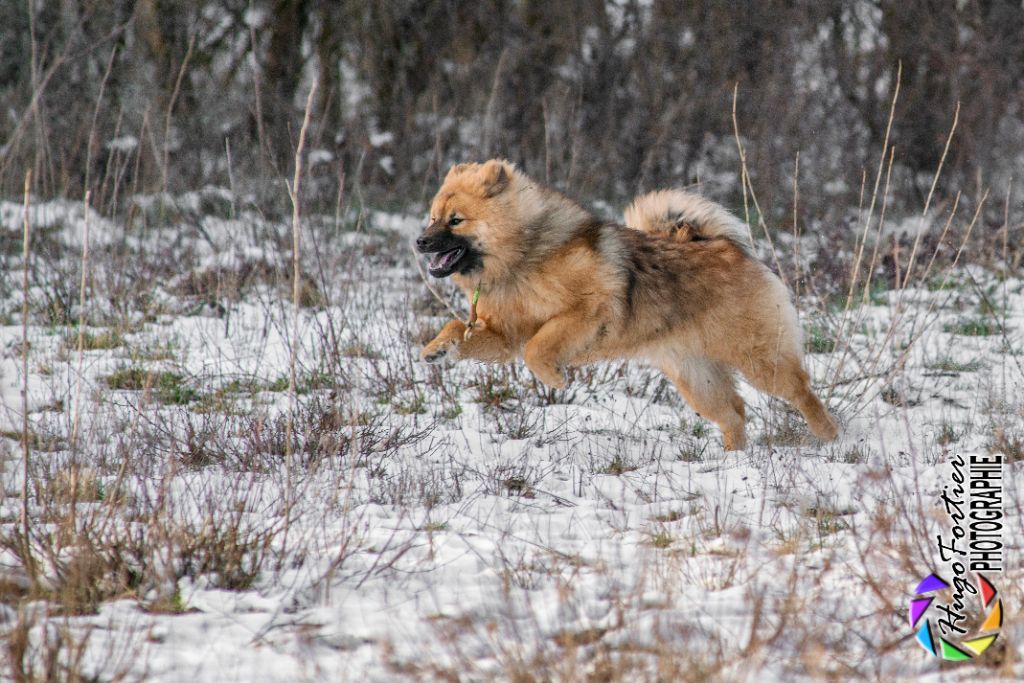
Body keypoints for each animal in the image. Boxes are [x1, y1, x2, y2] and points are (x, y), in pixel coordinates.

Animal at [415, 157, 839, 450]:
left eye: (455, 220)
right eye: (432, 217)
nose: (419, 241)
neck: (523, 258)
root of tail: (724, 245)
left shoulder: (586, 310)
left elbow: (539, 348)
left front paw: (555, 378)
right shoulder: (503, 335)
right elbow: (458, 327)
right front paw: (437, 349)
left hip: (758, 360)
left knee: (802, 392)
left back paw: (830, 436)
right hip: (696, 378)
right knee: (734, 413)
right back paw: (734, 459)